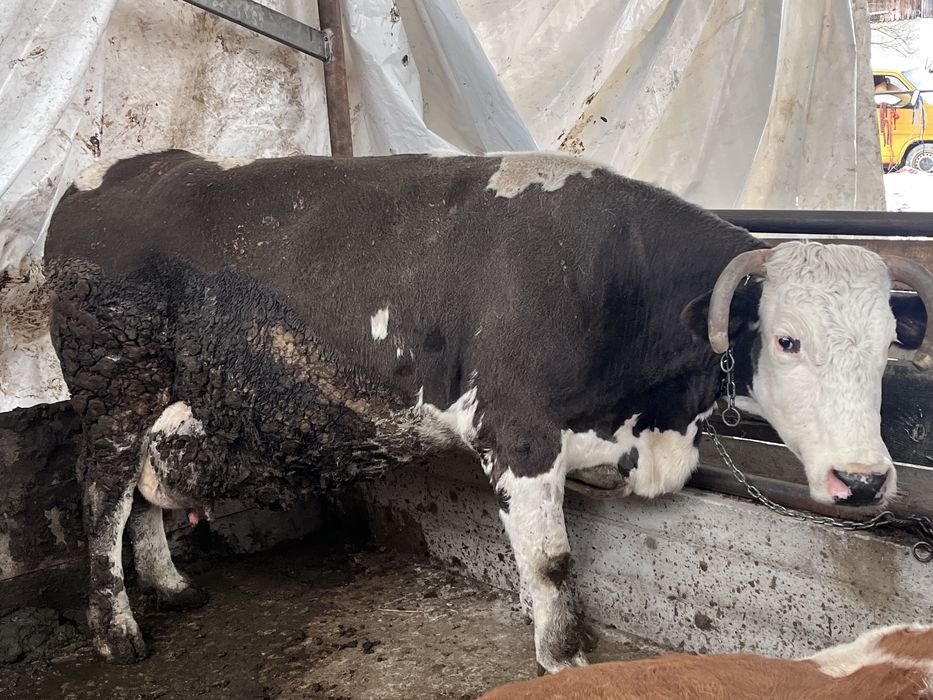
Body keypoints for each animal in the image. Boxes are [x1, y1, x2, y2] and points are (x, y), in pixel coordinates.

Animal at [20, 150, 932, 670]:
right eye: (785, 339)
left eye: (889, 341)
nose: (861, 481)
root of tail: (117, 172)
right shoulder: (518, 435)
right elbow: (551, 566)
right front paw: (562, 662)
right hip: (112, 392)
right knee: (101, 497)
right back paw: (118, 631)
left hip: (162, 408)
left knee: (143, 493)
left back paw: (171, 585)